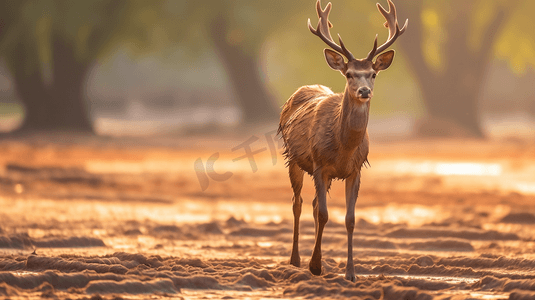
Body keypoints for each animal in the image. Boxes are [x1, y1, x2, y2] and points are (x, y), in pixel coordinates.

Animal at [278, 0, 408, 282]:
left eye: (372, 74)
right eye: (349, 74)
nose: (364, 91)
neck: (344, 149)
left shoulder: (356, 170)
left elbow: (349, 218)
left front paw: (350, 272)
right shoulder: (319, 165)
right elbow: (325, 214)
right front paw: (315, 266)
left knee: (313, 204)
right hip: (293, 159)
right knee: (298, 203)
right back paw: (296, 260)